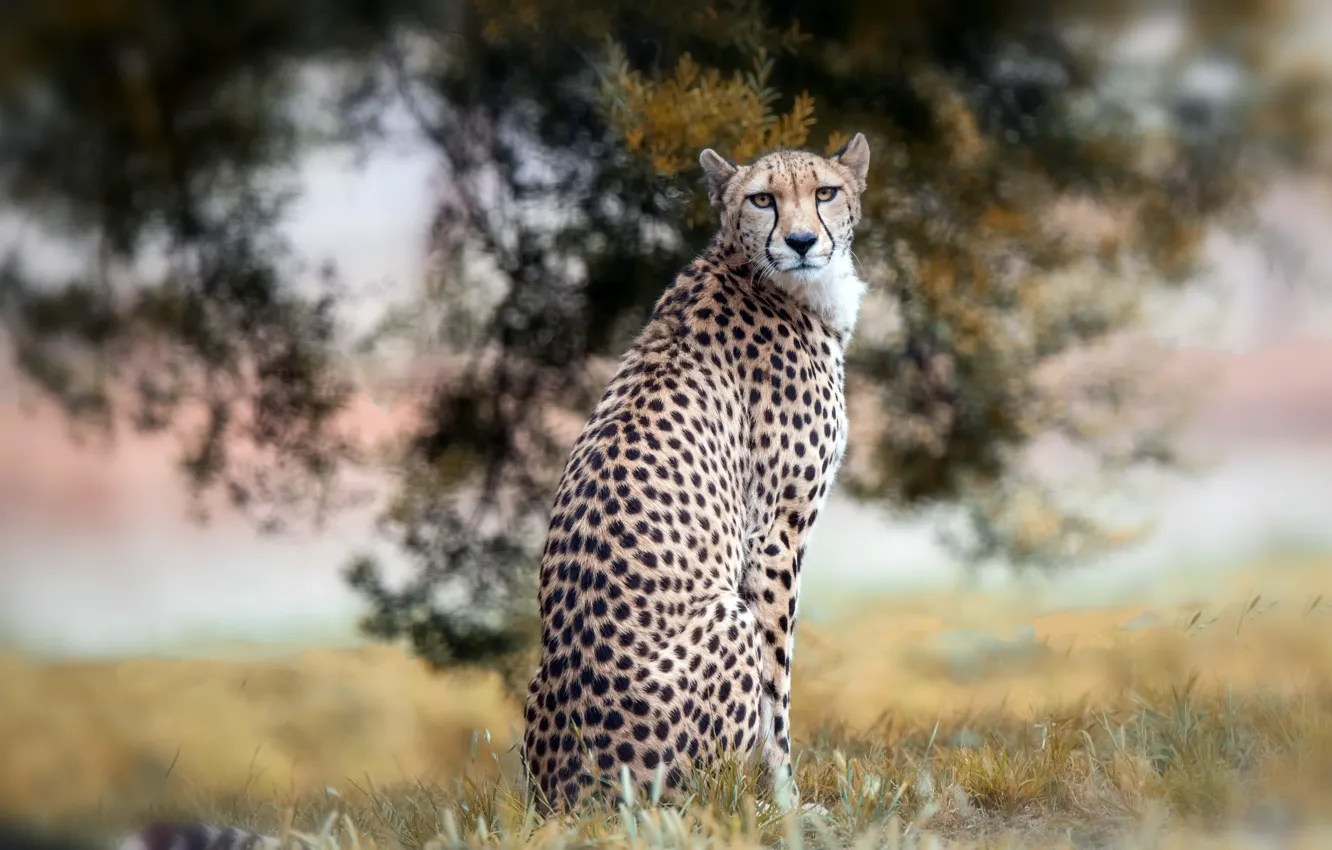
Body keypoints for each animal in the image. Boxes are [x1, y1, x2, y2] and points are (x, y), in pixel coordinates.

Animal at [522, 132, 872, 814]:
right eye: (762, 199)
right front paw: (786, 802)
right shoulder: (775, 535)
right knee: (698, 801)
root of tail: (565, 797)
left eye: (825, 192)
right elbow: (776, 693)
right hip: (726, 617)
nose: (800, 242)